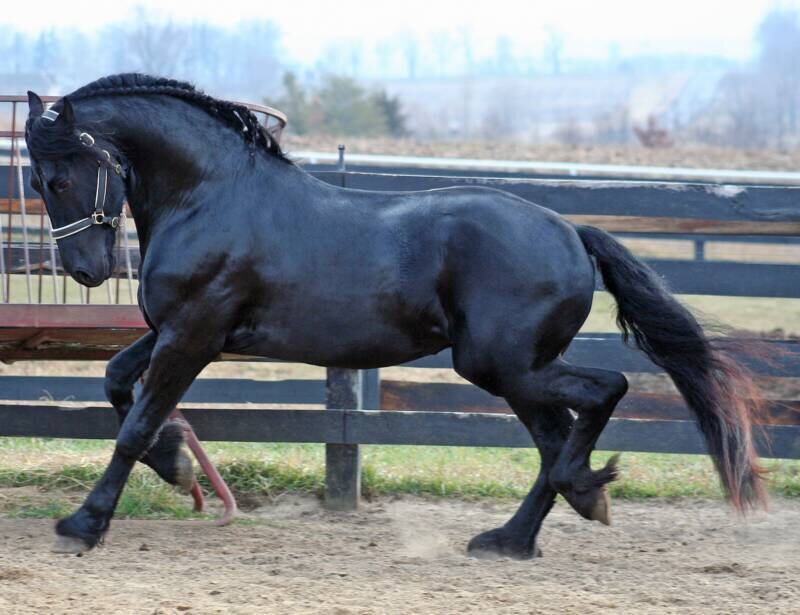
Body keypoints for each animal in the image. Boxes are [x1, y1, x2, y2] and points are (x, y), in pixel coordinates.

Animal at [24, 74, 767, 558]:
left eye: (59, 177)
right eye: (36, 181)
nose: (87, 270)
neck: (209, 196)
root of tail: (570, 232)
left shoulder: (194, 334)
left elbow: (135, 424)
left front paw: (84, 524)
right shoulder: (175, 331)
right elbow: (117, 386)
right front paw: (177, 465)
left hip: (501, 363)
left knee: (603, 392)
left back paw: (577, 494)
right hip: (516, 370)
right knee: (555, 438)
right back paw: (520, 533)